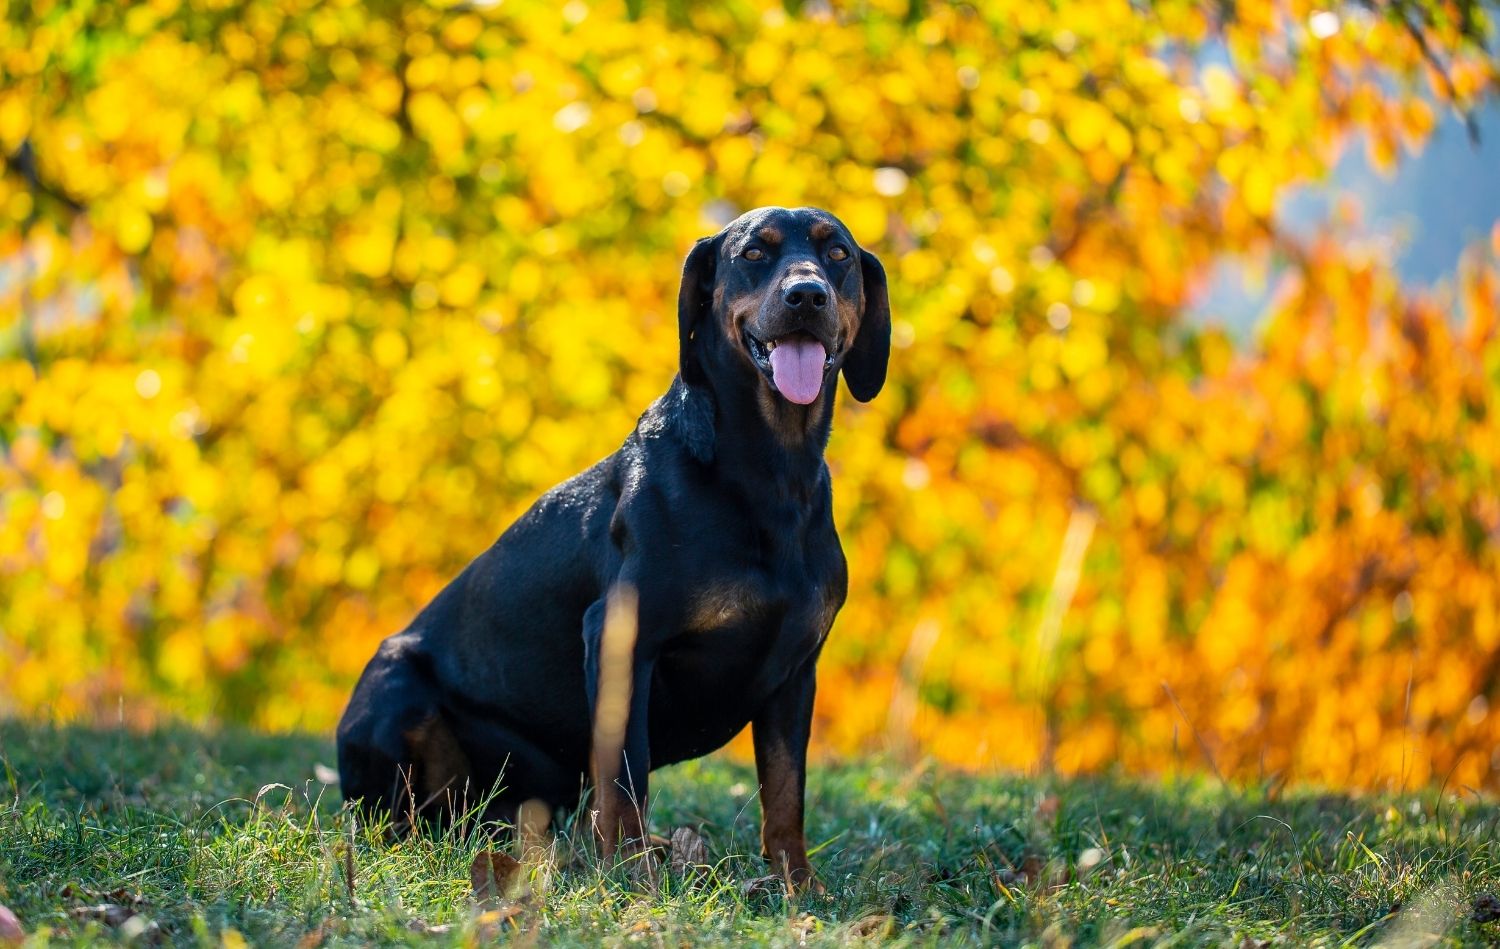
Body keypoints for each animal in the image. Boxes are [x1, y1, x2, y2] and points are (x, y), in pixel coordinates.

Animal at [337, 203, 888, 887]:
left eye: (837, 254)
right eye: (754, 254)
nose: (806, 294)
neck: (770, 473)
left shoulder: (795, 674)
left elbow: (786, 792)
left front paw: (797, 885)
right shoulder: (624, 637)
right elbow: (626, 776)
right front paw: (631, 879)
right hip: (394, 691)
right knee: (405, 818)